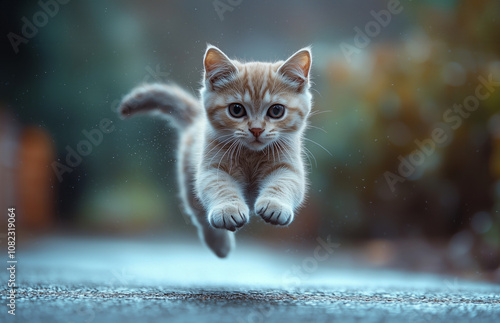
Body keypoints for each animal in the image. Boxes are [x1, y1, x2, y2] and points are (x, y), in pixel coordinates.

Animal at [119, 45, 312, 258]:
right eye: (236, 110)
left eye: (276, 111)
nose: (256, 130)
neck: (250, 155)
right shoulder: (211, 168)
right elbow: (220, 188)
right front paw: (228, 210)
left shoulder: (289, 166)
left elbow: (284, 182)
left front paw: (275, 206)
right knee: (201, 217)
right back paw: (220, 245)